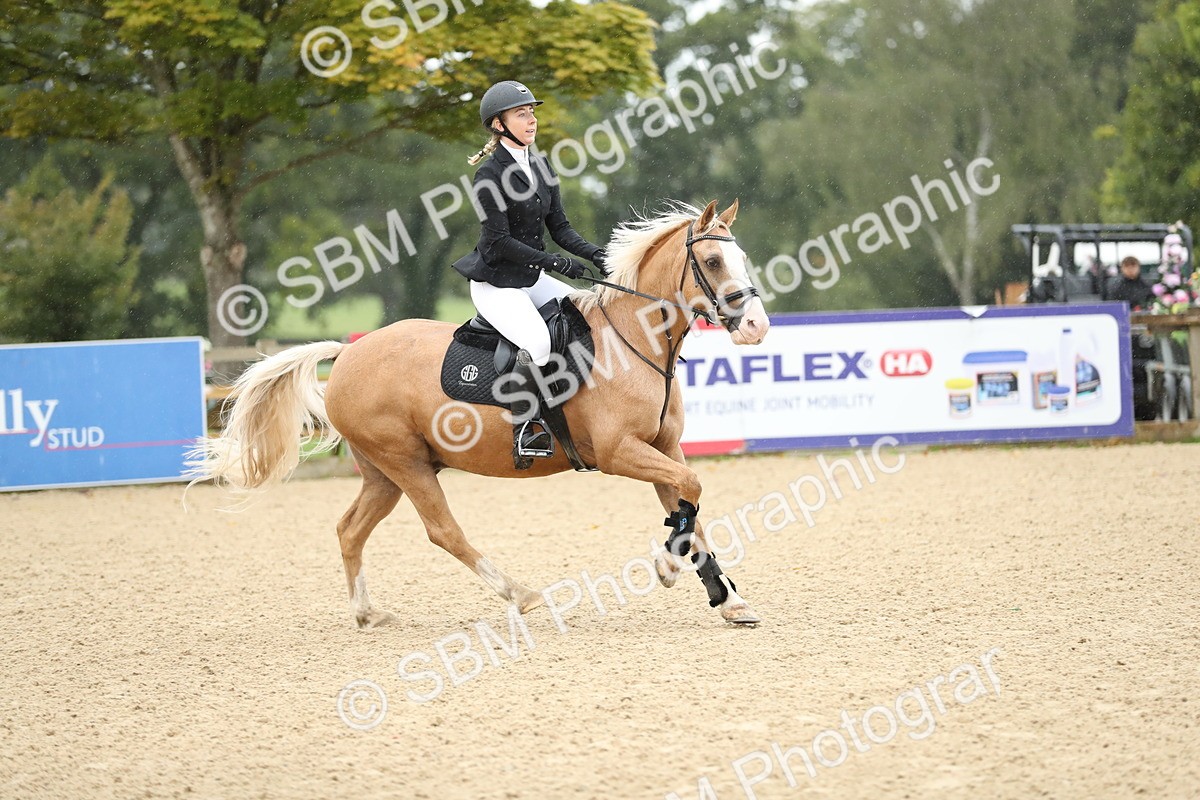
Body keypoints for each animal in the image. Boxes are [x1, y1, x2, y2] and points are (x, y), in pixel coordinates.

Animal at [187, 199, 770, 627]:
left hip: (384, 473)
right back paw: (521, 594)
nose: (756, 326)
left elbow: (689, 506)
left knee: (350, 530)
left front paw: (727, 599)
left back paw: (368, 614)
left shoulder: (661, 448)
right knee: (443, 531)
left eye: (741, 259)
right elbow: (690, 492)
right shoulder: (618, 452)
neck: (632, 341)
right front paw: (668, 568)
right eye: (712, 262)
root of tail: (349, 352)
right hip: (406, 464)